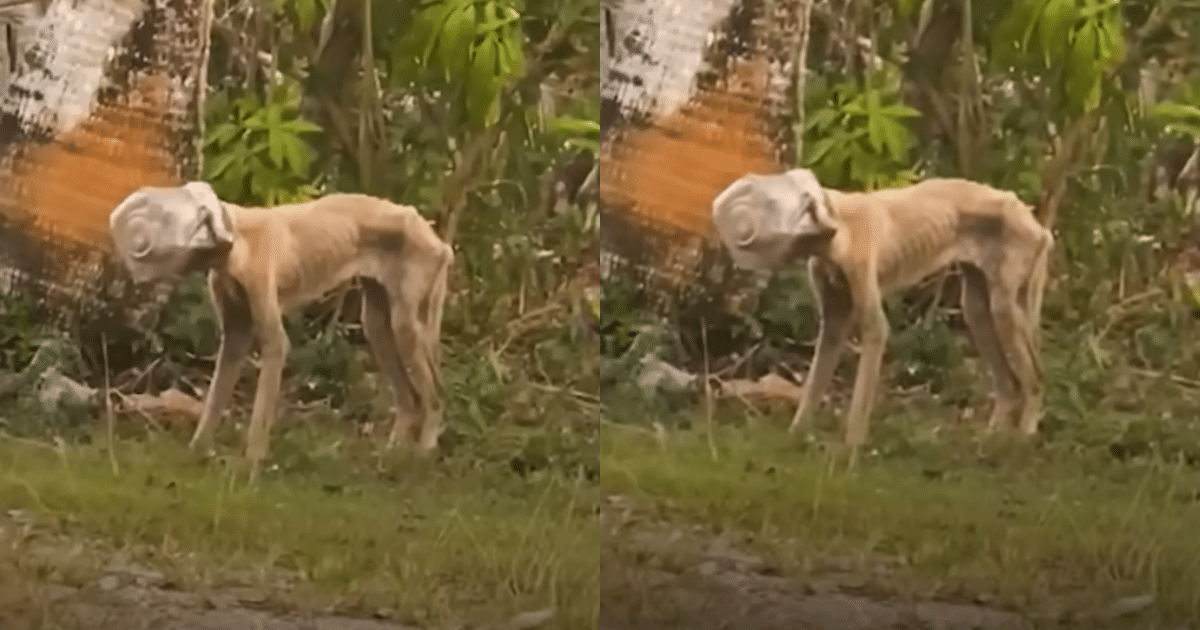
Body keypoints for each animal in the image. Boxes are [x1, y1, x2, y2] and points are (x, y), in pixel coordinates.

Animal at [111, 178, 453, 475]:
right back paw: (392, 455)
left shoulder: (272, 335)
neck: (239, 235)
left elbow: (262, 407)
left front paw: (250, 465)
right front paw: (196, 452)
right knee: (409, 398)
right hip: (378, 325)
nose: (133, 244)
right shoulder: (234, 337)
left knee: (435, 396)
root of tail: (438, 240)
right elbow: (214, 401)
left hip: (407, 325)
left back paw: (424, 452)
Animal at [710, 169, 1051, 463]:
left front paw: (849, 453)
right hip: (977, 306)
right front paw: (794, 438)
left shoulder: (865, 288)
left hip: (1007, 305)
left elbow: (870, 354)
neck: (840, 222)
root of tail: (1036, 223)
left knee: (1034, 377)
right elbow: (815, 380)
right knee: (1006, 380)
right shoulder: (833, 319)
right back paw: (992, 440)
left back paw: (1025, 435)